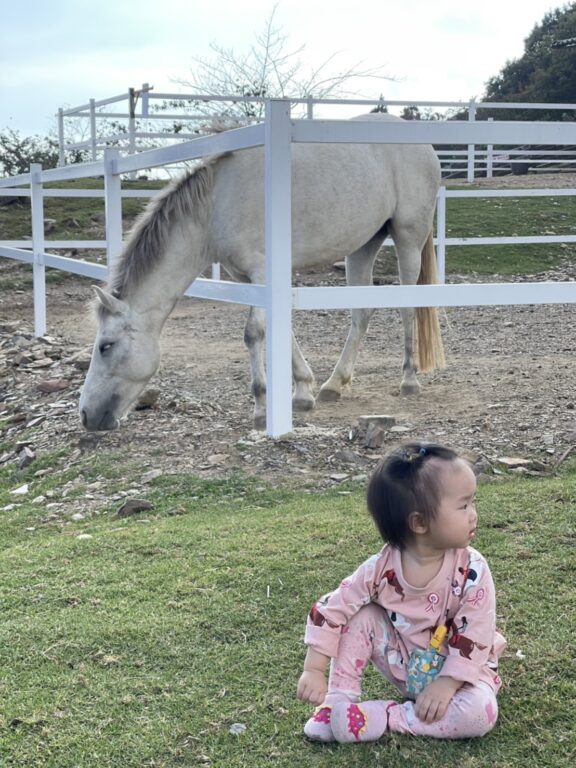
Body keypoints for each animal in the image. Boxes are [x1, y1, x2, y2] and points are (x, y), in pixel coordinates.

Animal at [79, 112, 444, 432]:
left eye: (105, 346)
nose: (86, 415)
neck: (217, 205)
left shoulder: (261, 272)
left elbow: (253, 333)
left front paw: (260, 408)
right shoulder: (250, 278)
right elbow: (281, 329)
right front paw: (303, 391)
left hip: (408, 238)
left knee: (408, 306)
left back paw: (409, 379)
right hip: (363, 246)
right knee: (362, 313)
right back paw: (334, 384)